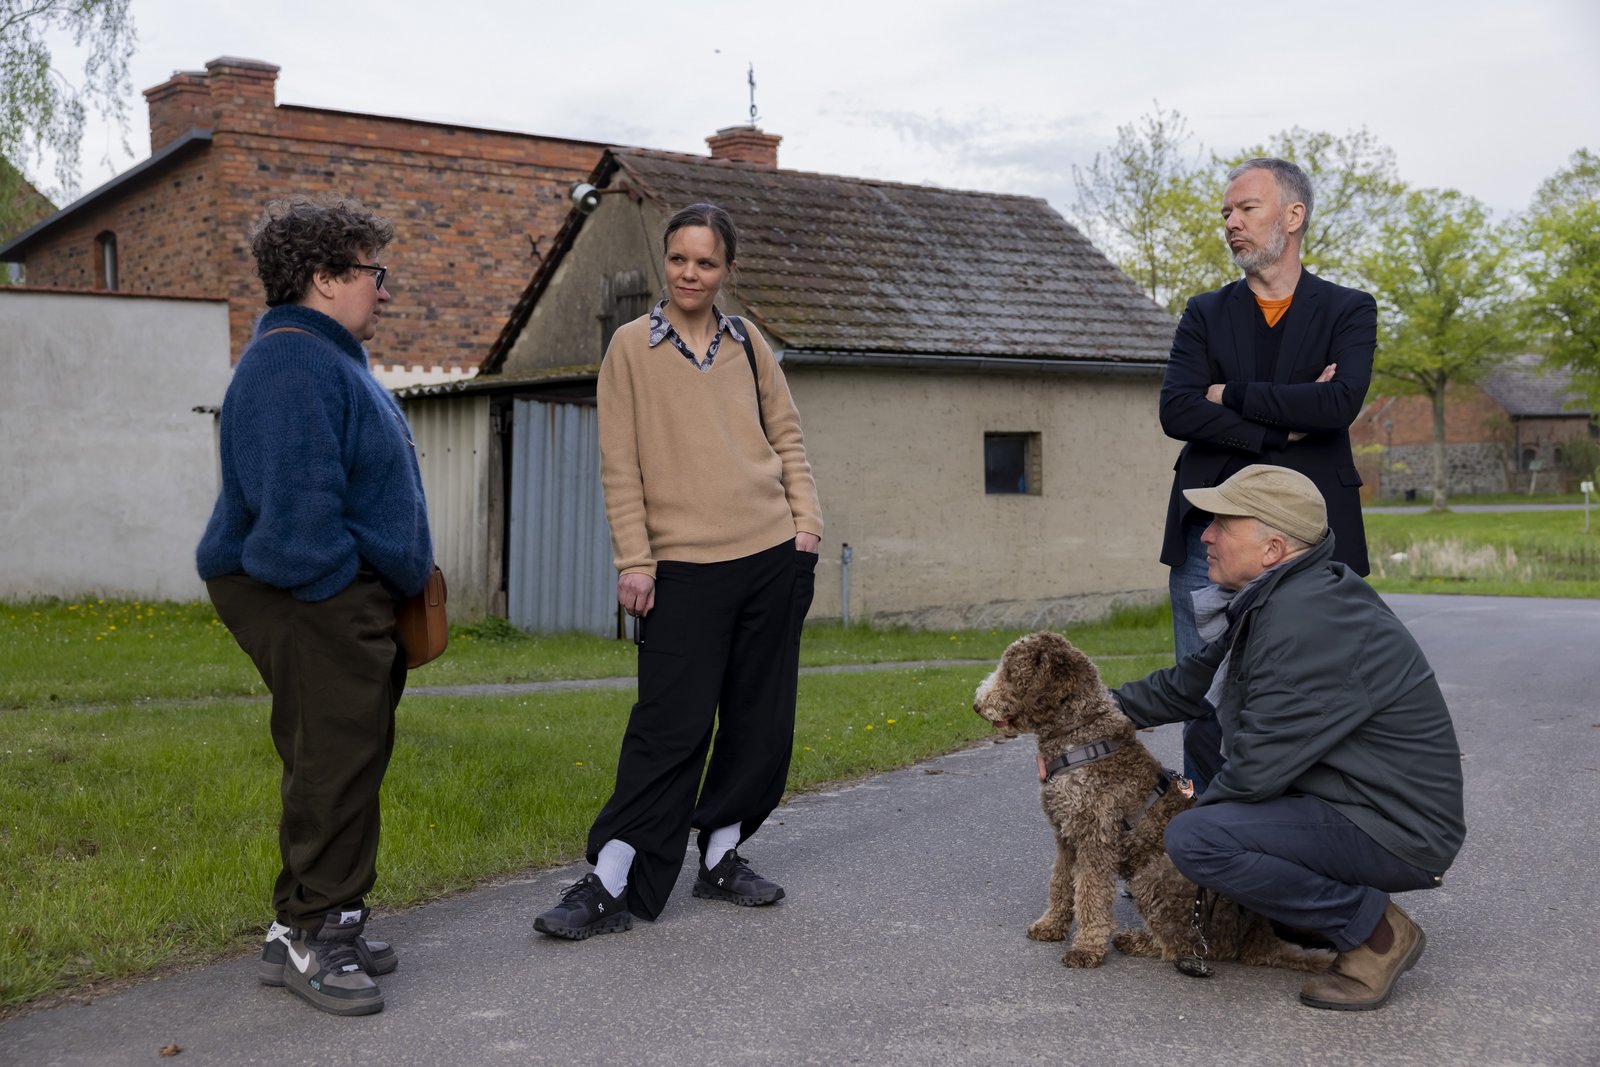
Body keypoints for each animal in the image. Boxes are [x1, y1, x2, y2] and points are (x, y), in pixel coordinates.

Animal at [966, 633, 1331, 979]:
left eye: (1010, 672)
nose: (976, 705)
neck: (1079, 735)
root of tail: (1255, 934)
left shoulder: (1096, 840)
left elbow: (1091, 897)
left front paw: (1086, 947)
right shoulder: (1066, 837)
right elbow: (1061, 885)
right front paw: (1051, 925)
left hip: (1151, 878)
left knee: (1184, 946)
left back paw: (1136, 941)